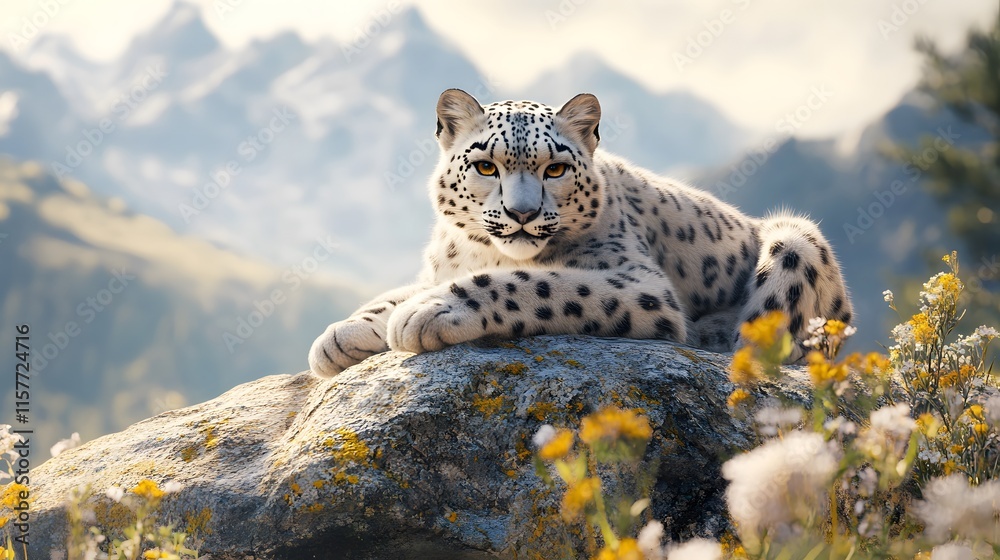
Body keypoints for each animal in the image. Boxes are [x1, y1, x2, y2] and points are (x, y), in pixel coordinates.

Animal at [307, 89, 852, 378]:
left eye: (554, 169)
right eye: (485, 165)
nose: (522, 213)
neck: (483, 253)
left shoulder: (637, 281)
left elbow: (540, 282)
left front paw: (431, 311)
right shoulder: (439, 266)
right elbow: (394, 292)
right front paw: (342, 334)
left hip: (795, 244)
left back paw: (716, 334)